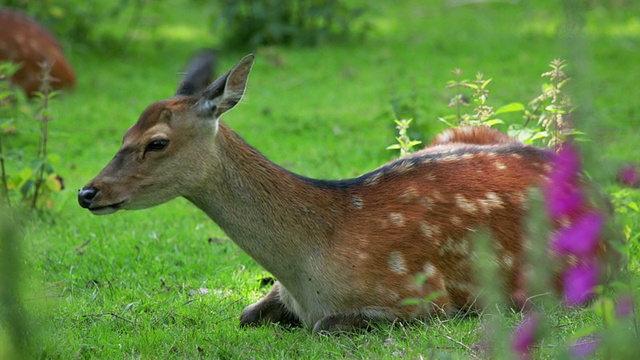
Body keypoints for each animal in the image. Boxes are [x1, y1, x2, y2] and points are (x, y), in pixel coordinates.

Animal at [76, 54, 604, 334]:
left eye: (156, 142)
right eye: (123, 132)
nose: (87, 191)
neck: (308, 268)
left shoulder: (422, 298)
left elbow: (325, 326)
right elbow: (245, 313)